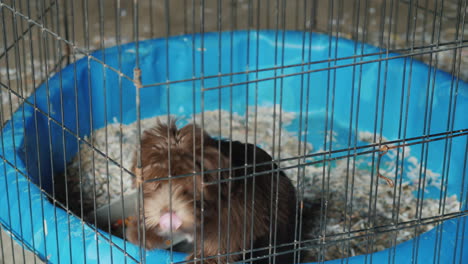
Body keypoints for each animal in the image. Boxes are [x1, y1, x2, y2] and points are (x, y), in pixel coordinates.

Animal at [124, 120, 298, 262]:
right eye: (157, 183)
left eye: (188, 186)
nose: (167, 213)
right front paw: (141, 231)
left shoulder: (238, 213)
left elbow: (224, 239)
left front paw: (205, 258)